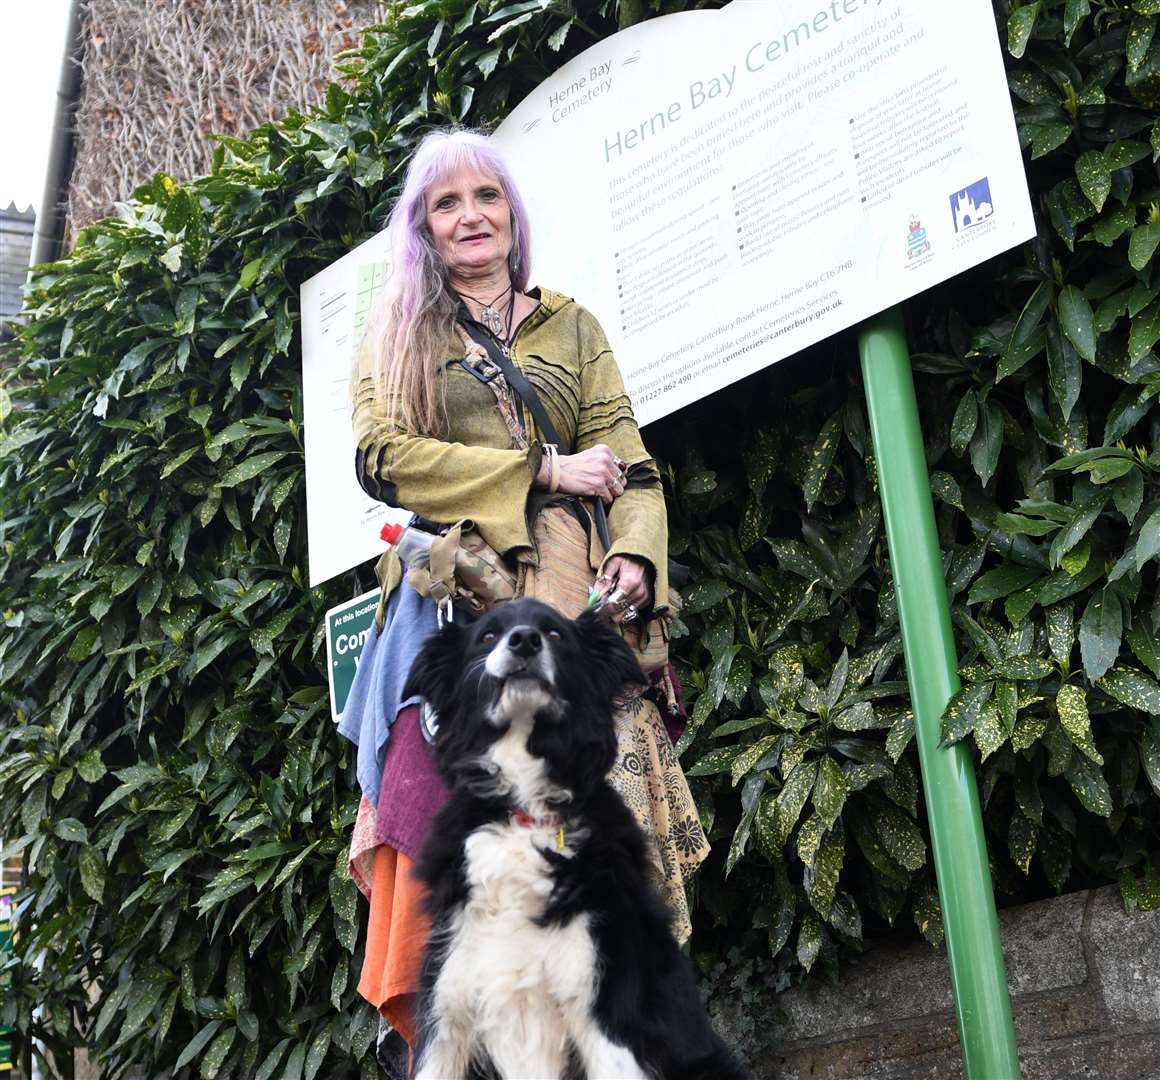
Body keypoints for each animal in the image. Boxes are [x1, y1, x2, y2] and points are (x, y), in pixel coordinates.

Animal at [403, 598, 747, 1080]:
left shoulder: (606, 1011)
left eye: (555, 633)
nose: (524, 641)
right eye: (487, 636)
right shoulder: (448, 1014)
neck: (525, 816)